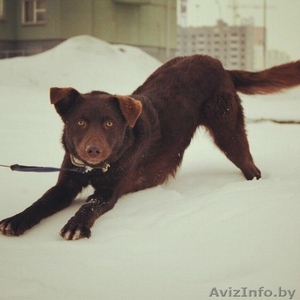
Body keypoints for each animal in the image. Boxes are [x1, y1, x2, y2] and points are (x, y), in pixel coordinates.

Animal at [0, 55, 300, 239]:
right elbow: (41, 202)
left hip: (228, 134)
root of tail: (220, 64)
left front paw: (76, 225)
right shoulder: (66, 183)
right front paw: (16, 220)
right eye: (81, 122)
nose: (93, 151)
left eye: (109, 124)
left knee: (251, 167)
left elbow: (89, 205)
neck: (95, 168)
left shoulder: (109, 192)